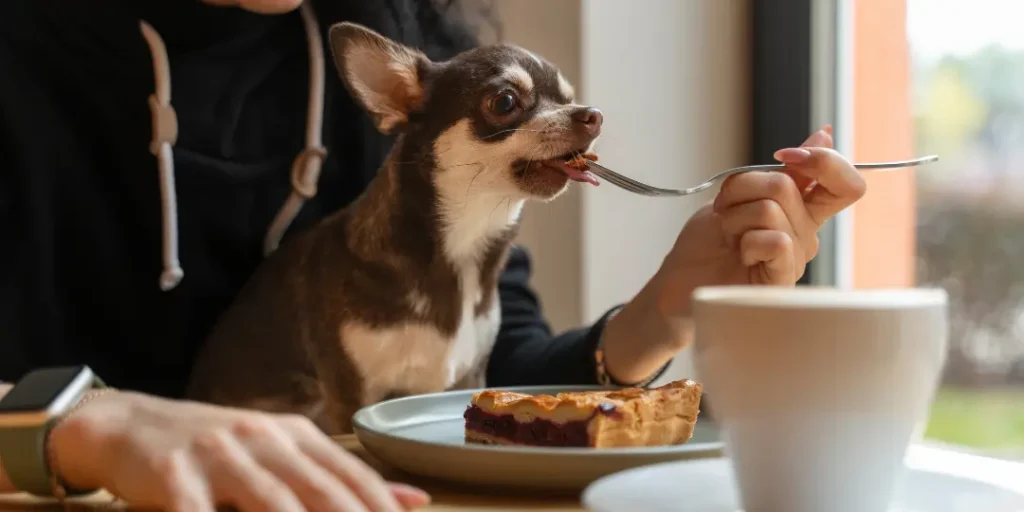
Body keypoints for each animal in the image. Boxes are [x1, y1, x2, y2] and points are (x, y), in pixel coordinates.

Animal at [186, 22, 598, 434]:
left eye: (568, 98)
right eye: (504, 102)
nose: (591, 114)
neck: (461, 247)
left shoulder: (469, 377)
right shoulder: (351, 393)